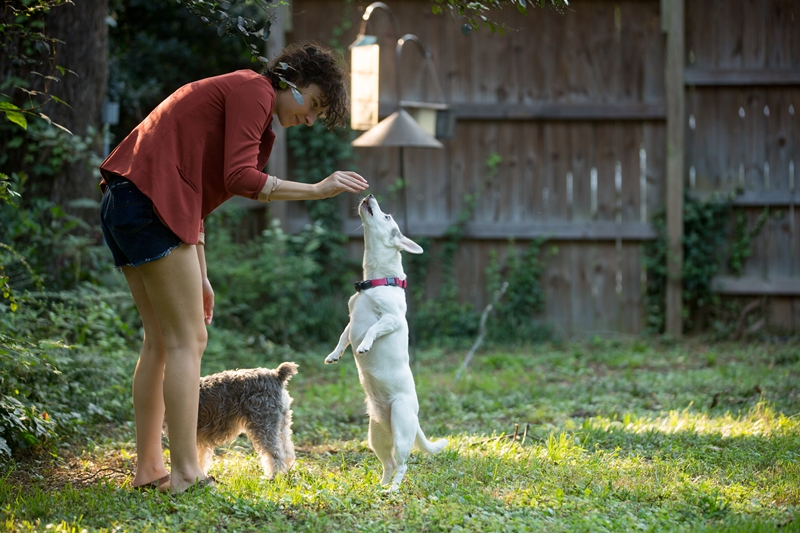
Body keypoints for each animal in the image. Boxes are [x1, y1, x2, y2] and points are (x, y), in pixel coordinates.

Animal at [167, 362, 298, 478]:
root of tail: (276, 375)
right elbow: (201, 460)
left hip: (264, 425)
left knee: (275, 454)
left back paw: (273, 477)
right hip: (281, 424)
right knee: (287, 451)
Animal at [326, 194, 450, 490]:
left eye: (387, 216)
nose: (369, 196)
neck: (376, 281)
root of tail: (414, 418)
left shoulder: (391, 319)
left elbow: (372, 329)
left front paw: (364, 345)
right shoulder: (351, 320)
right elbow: (343, 335)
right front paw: (335, 354)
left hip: (402, 430)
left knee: (403, 464)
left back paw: (393, 489)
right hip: (376, 436)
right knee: (390, 464)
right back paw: (381, 487)